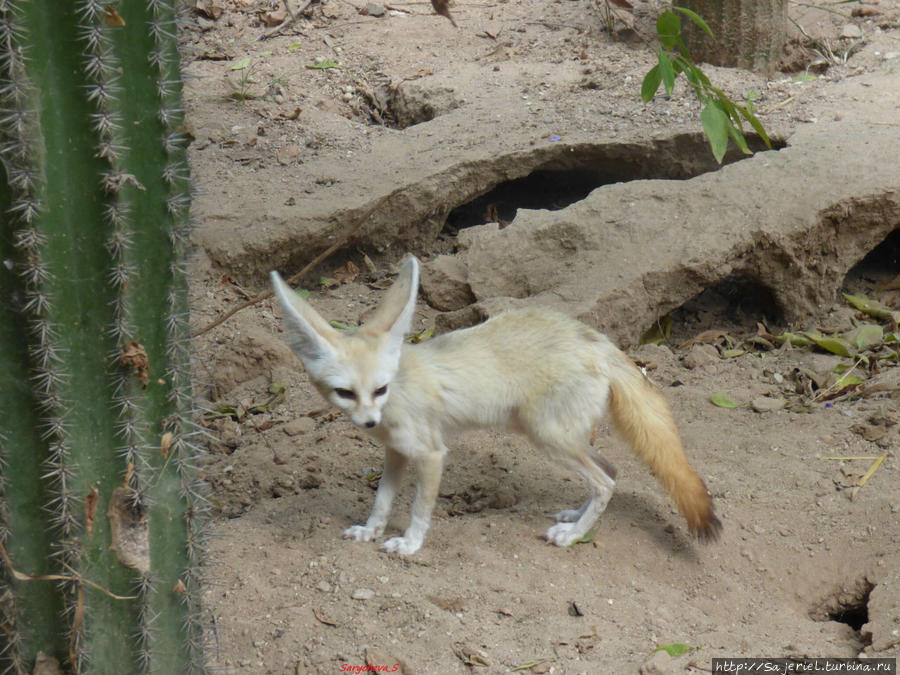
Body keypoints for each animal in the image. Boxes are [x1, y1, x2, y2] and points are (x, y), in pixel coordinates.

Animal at [270, 255, 720, 556]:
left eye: (380, 389)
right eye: (345, 393)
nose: (367, 422)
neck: (399, 387)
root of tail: (598, 342)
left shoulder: (431, 454)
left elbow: (419, 508)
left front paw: (411, 544)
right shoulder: (396, 452)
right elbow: (381, 500)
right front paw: (370, 530)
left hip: (548, 438)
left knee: (605, 481)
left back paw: (574, 535)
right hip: (563, 437)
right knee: (611, 471)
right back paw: (575, 518)